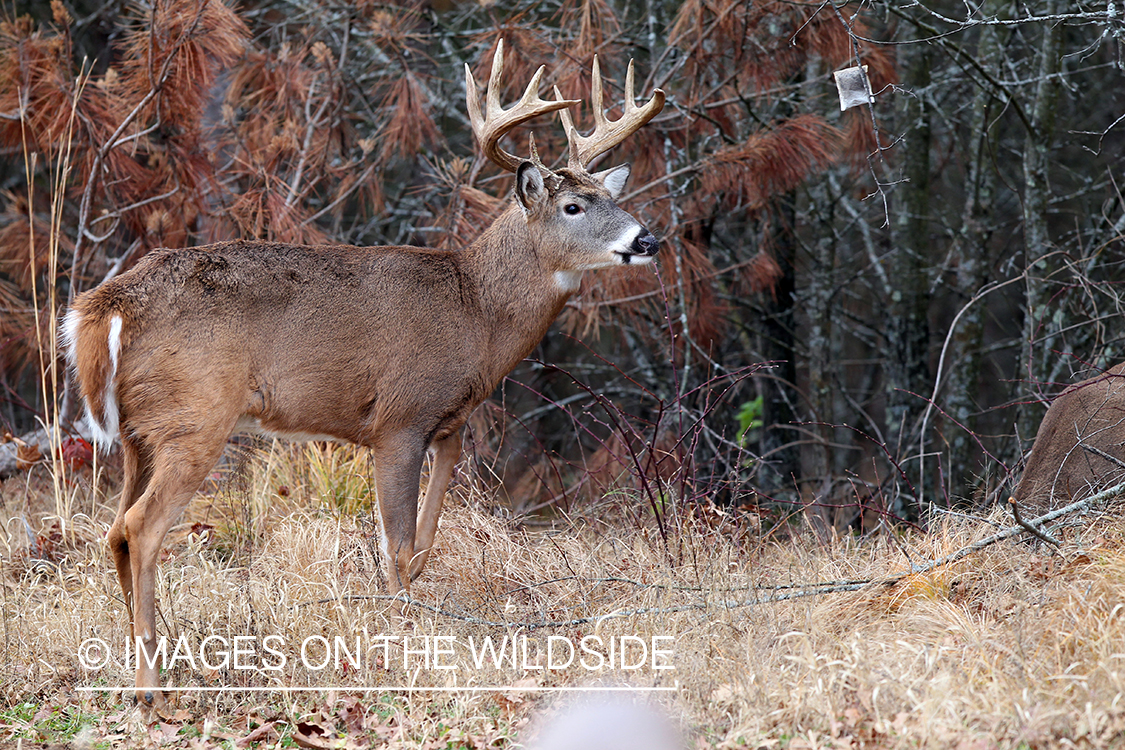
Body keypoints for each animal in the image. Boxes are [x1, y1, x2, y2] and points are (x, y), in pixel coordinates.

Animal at [61, 41, 661, 706]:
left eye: (612, 197)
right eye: (573, 206)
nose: (647, 239)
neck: (476, 314)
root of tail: (108, 303)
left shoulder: (448, 424)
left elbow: (423, 538)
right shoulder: (399, 420)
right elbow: (396, 545)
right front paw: (402, 640)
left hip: (140, 432)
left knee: (114, 531)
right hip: (195, 417)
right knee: (141, 528)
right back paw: (151, 687)